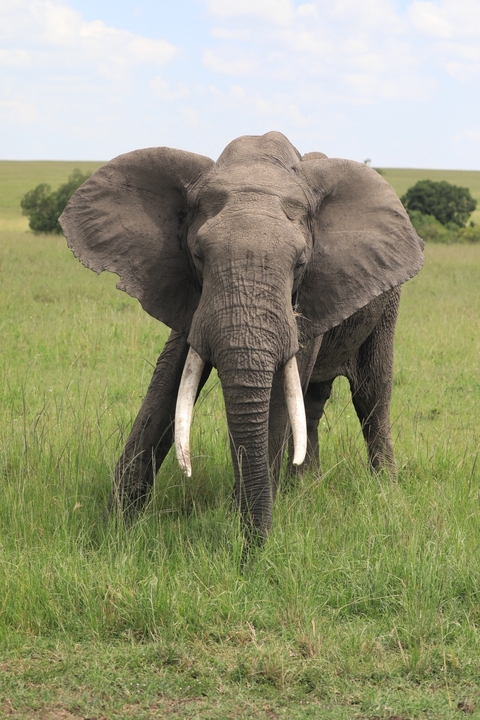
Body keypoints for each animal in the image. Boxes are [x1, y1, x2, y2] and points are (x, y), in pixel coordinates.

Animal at [60, 131, 424, 542]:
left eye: (300, 263)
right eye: (199, 256)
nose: (251, 546)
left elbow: (282, 391)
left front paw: (247, 536)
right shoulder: (188, 293)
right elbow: (168, 382)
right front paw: (113, 530)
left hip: (388, 305)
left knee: (371, 396)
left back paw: (384, 493)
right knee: (313, 403)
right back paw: (304, 487)